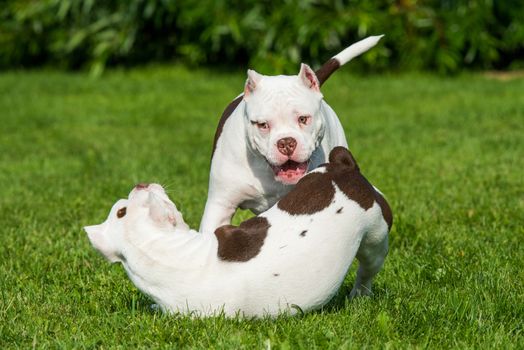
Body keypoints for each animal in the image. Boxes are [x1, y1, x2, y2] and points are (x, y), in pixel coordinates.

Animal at [86, 147, 390, 318]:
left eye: (119, 210)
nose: (139, 184)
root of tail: (342, 167)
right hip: (376, 238)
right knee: (367, 271)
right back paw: (359, 296)